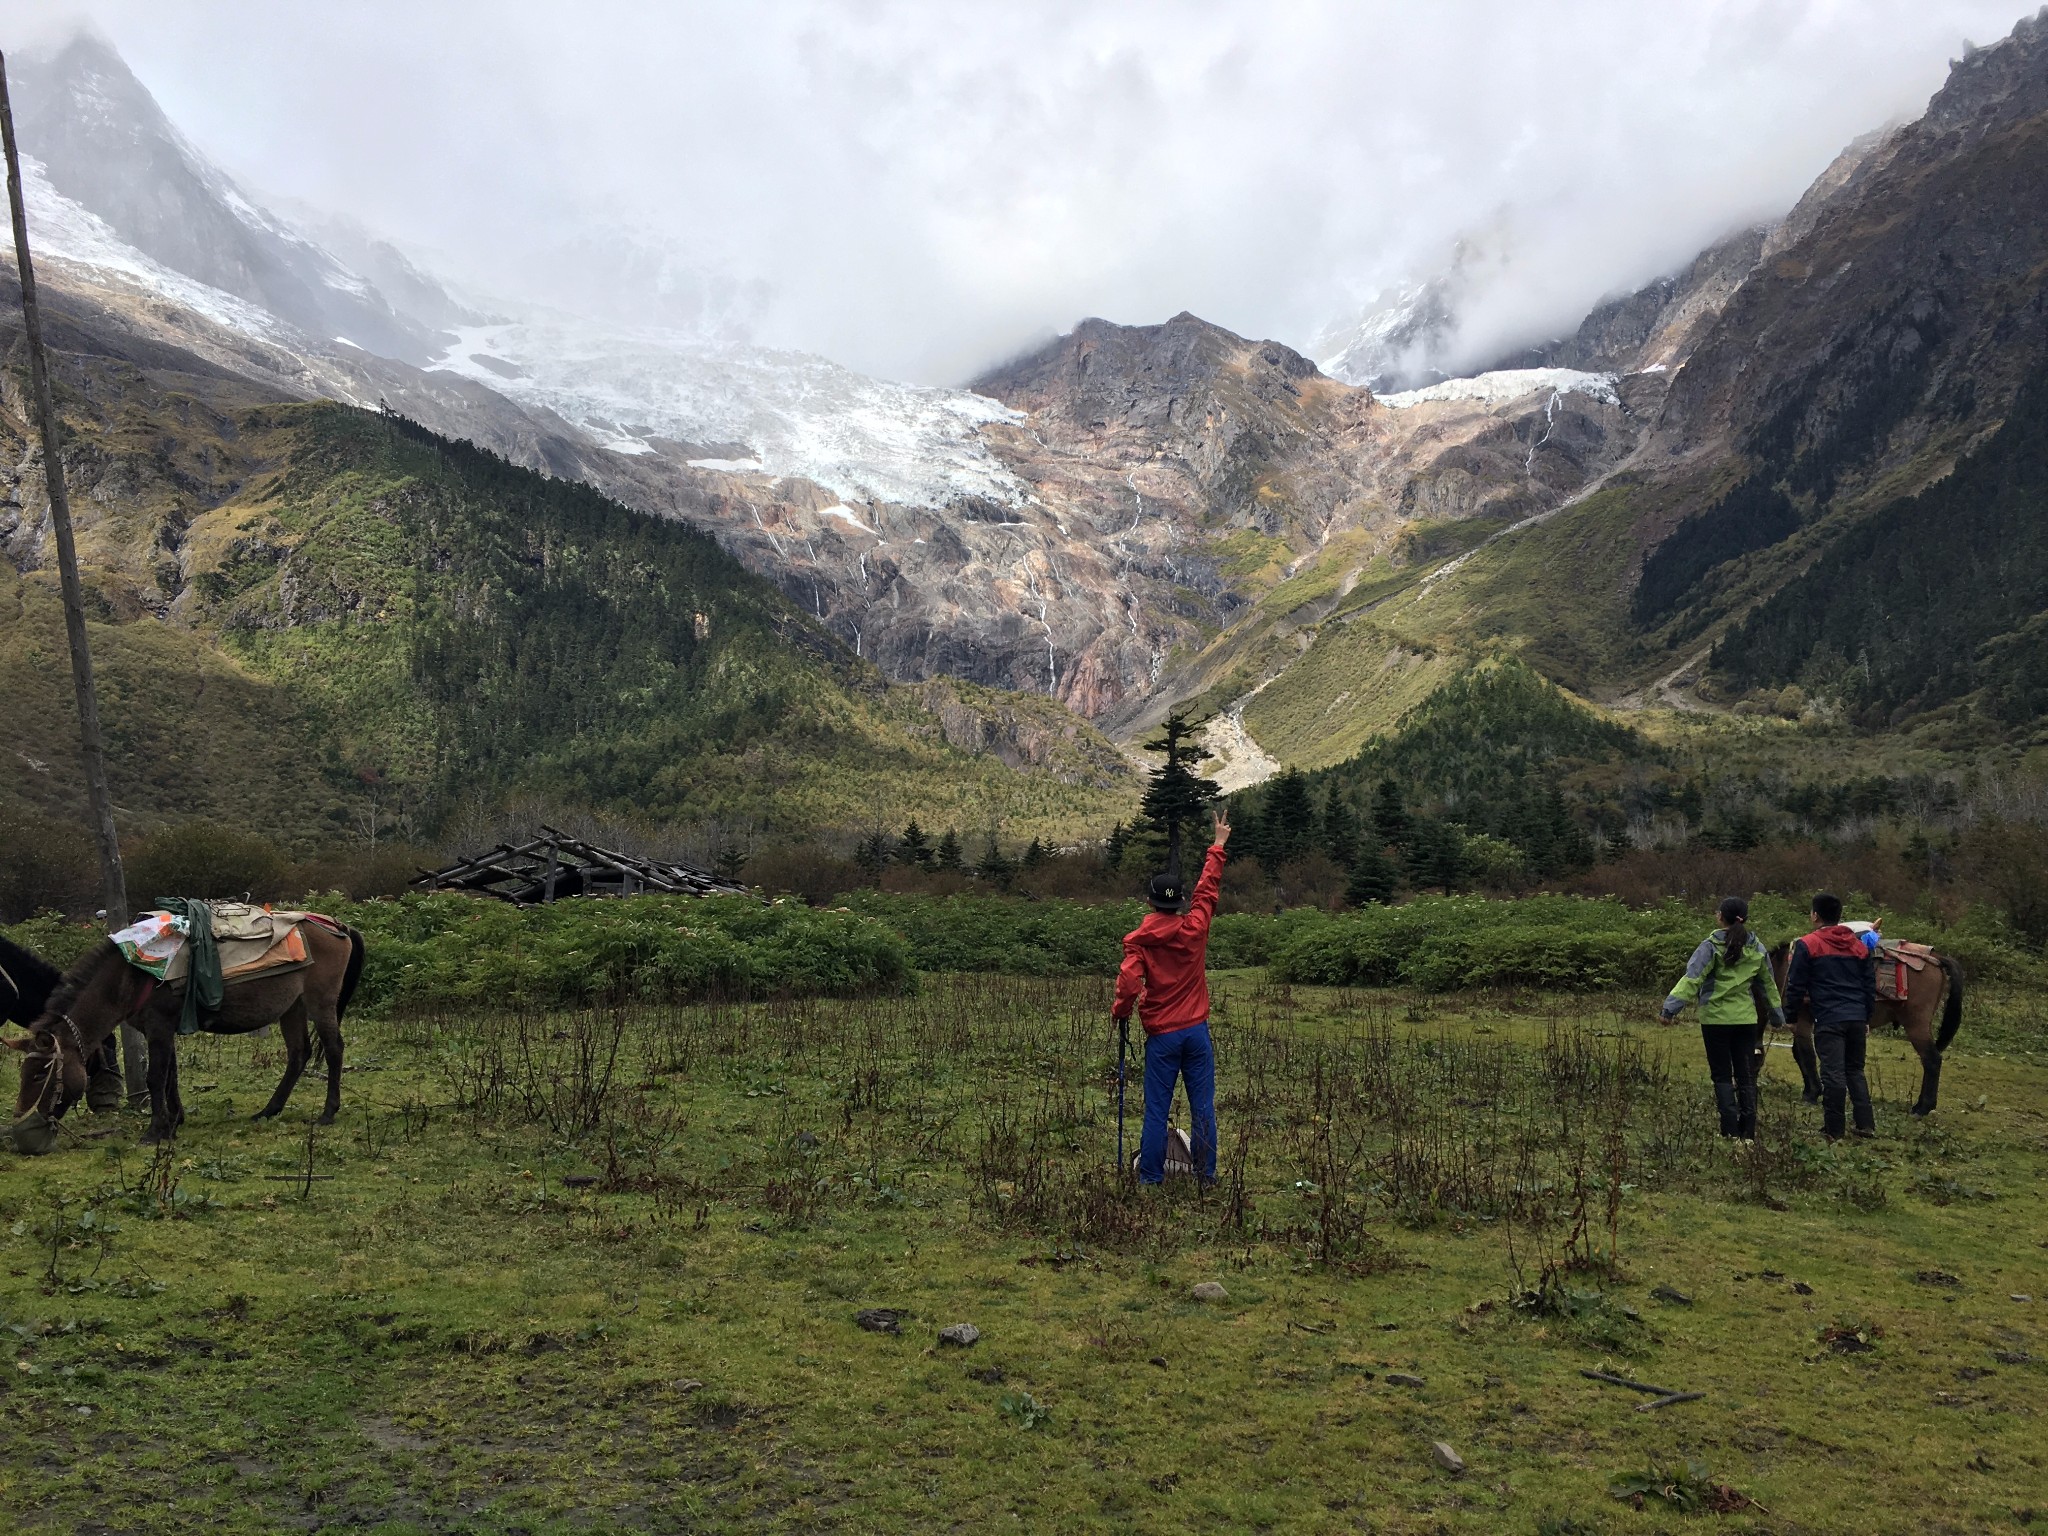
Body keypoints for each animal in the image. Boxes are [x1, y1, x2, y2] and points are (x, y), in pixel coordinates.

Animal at [8, 921, 366, 1146]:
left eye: (40, 1075)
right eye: (24, 1074)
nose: (23, 1128)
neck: (133, 974)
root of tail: (338, 927)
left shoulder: (159, 1028)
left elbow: (155, 1077)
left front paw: (155, 1131)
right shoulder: (162, 1029)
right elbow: (171, 1075)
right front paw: (174, 1120)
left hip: (320, 1002)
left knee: (334, 1049)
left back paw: (327, 1112)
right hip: (292, 1007)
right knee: (298, 1054)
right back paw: (269, 1110)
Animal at [1769, 937, 1957, 1122]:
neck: (1784, 968)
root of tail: (1936, 957)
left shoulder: (1801, 1020)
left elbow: (1806, 1055)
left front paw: (1812, 1093)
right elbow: (1798, 1053)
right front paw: (1810, 1090)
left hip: (1916, 1025)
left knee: (1932, 1060)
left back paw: (1923, 1107)